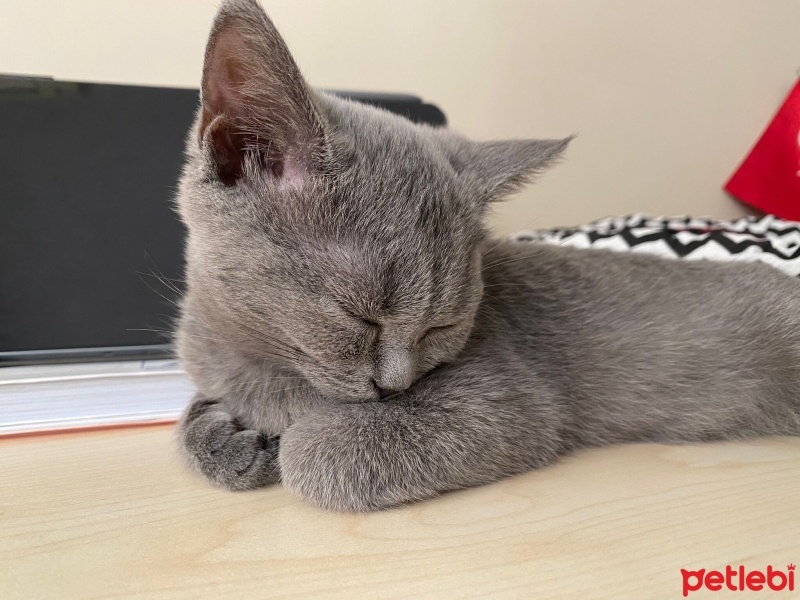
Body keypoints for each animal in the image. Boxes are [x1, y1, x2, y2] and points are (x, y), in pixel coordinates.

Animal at [175, 0, 800, 510]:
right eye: (358, 316)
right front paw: (223, 438)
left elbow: (316, 454)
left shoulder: (506, 401)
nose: (394, 388)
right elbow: (189, 421)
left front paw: (292, 439)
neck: (254, 360)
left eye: (443, 326)